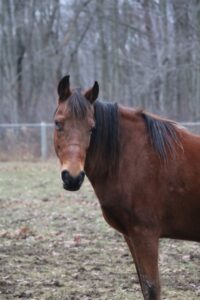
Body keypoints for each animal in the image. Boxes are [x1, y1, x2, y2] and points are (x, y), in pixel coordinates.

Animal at [53, 75, 200, 300]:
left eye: (92, 128)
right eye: (58, 124)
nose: (73, 177)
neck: (134, 157)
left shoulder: (145, 235)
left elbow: (151, 288)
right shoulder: (131, 236)